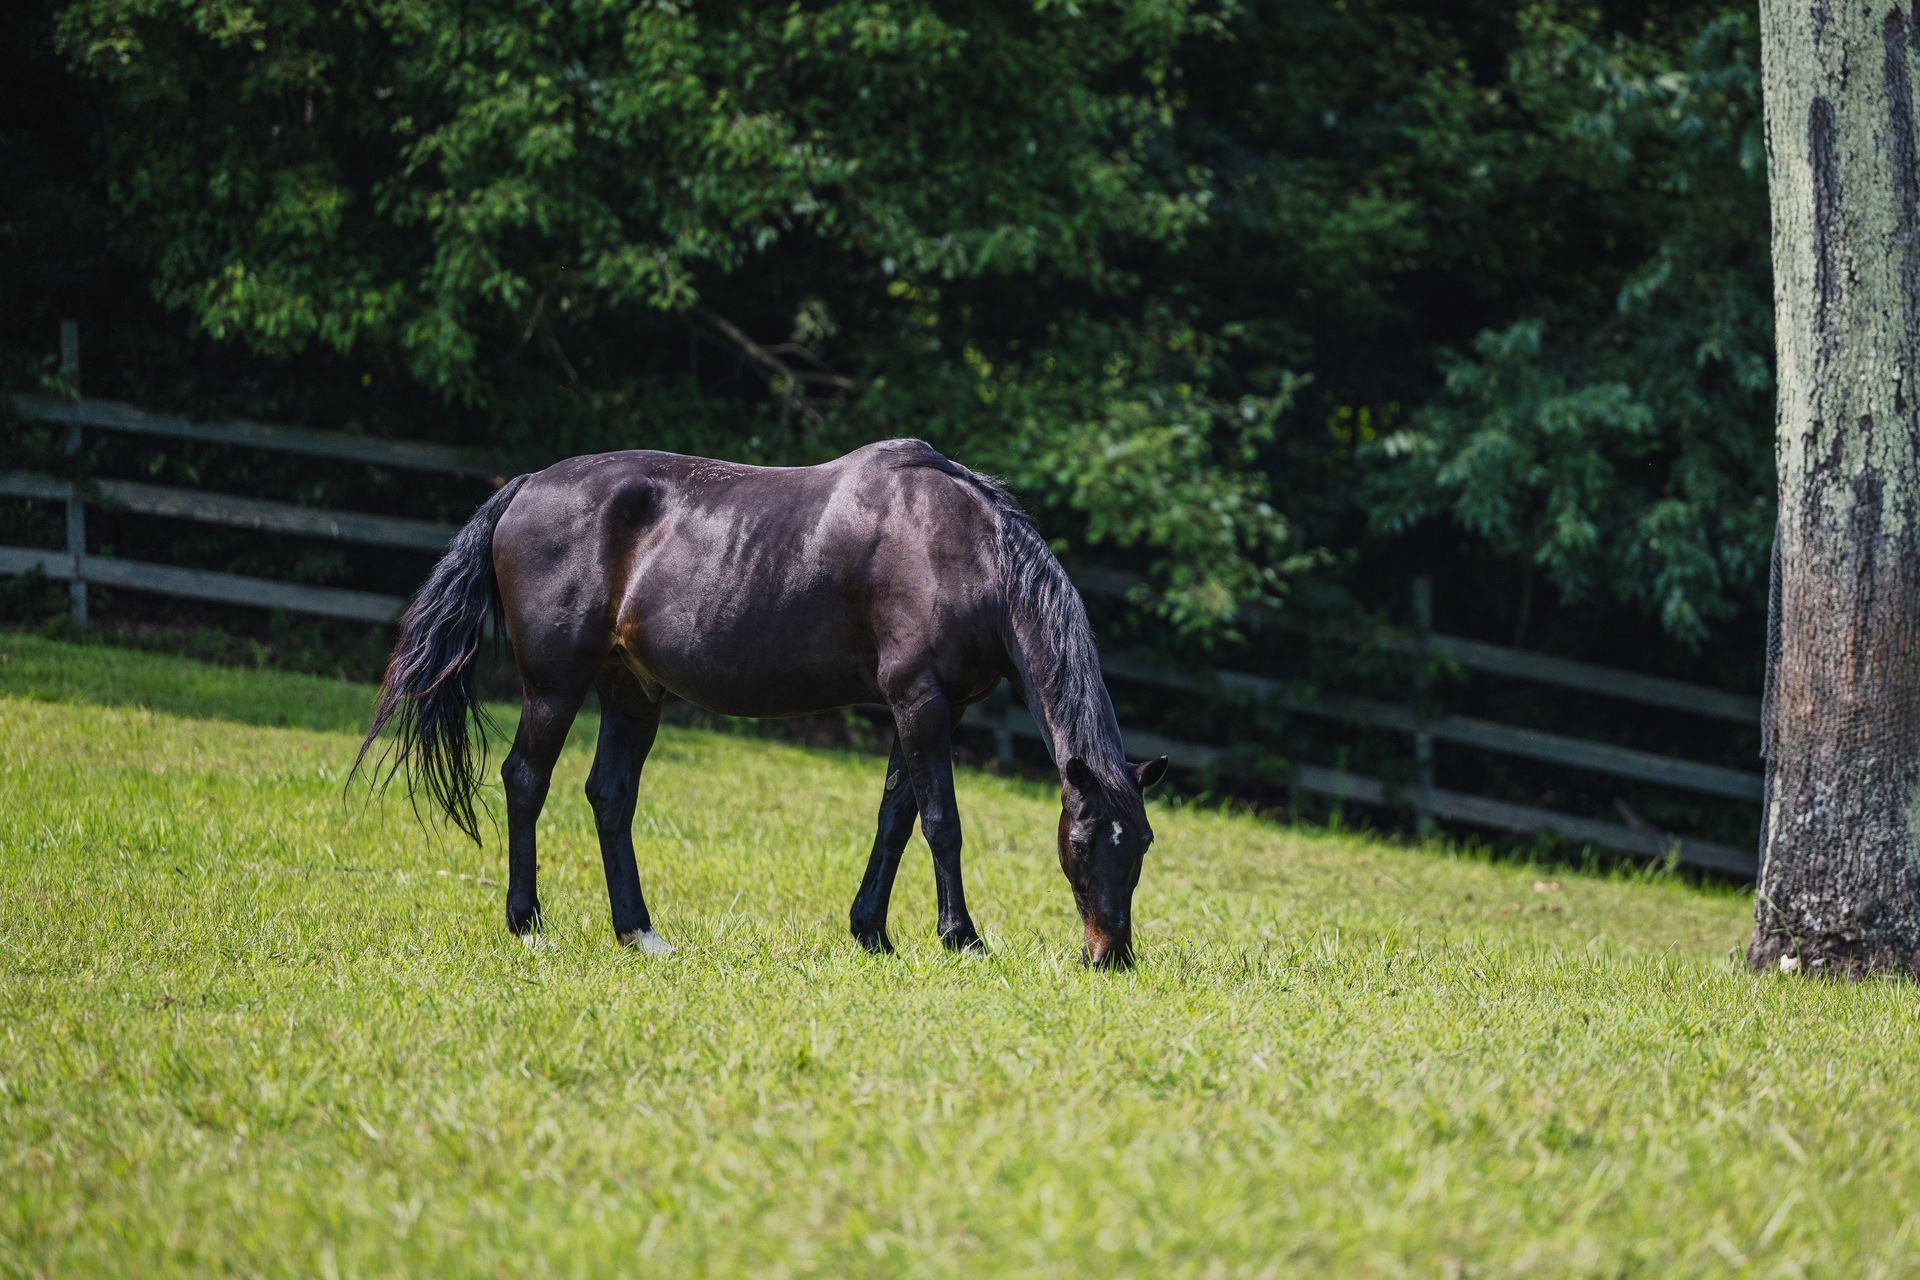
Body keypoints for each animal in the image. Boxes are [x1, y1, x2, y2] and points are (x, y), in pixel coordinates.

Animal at [357, 435, 1167, 967]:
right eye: (1084, 843)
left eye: (1142, 845)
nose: (1110, 956)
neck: (962, 549)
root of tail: (524, 486)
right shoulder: (920, 702)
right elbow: (941, 822)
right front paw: (961, 939)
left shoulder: (930, 709)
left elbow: (894, 821)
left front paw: (871, 933)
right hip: (556, 686)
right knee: (526, 781)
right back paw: (527, 925)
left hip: (631, 691)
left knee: (610, 798)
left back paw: (640, 934)